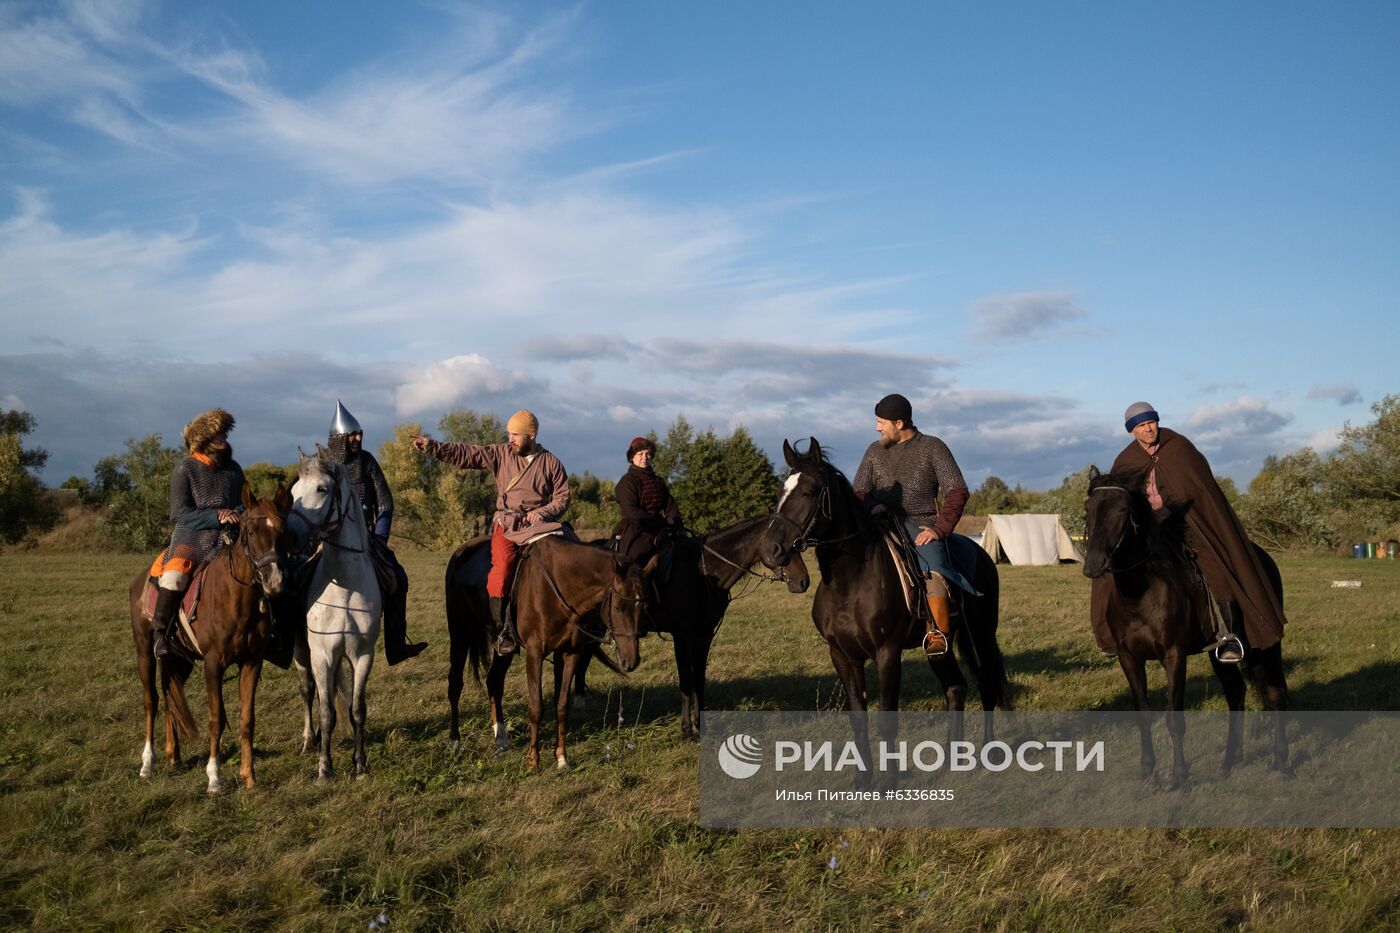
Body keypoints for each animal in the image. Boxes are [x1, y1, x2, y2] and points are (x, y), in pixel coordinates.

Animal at [127, 481, 288, 795]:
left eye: (282, 532)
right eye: (251, 532)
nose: (274, 582)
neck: (236, 598)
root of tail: (141, 578)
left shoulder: (251, 662)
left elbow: (247, 719)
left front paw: (249, 777)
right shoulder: (213, 664)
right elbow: (216, 719)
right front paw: (214, 778)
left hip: (180, 658)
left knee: (169, 695)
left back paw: (174, 755)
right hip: (144, 652)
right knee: (151, 700)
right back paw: (147, 763)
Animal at [288, 448, 383, 778]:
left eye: (321, 489)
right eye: (293, 492)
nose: (288, 536)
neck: (344, 590)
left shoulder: (362, 655)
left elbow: (357, 710)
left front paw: (360, 763)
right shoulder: (322, 655)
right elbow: (326, 711)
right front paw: (324, 768)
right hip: (302, 653)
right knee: (308, 692)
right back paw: (310, 740)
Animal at [445, 529, 652, 767]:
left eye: (643, 607)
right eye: (618, 607)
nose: (631, 660)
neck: (559, 588)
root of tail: (461, 552)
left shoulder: (570, 652)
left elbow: (561, 705)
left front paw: (561, 758)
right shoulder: (535, 652)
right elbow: (536, 707)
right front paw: (533, 761)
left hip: (502, 649)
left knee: (494, 682)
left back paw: (501, 737)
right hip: (460, 634)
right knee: (455, 684)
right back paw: (455, 742)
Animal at [761, 437, 1013, 717]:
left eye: (811, 491)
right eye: (780, 492)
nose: (770, 549)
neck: (848, 585)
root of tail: (981, 553)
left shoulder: (887, 655)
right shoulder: (842, 656)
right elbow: (857, 710)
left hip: (982, 635)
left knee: (988, 687)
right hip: (942, 646)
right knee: (956, 688)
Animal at [1080, 465, 1288, 784]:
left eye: (1122, 509)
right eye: (1088, 510)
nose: (1093, 565)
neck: (1139, 594)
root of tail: (1263, 557)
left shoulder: (1174, 655)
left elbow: (1174, 718)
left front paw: (1179, 777)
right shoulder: (1129, 658)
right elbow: (1143, 714)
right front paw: (1147, 770)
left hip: (1265, 644)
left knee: (1276, 693)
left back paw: (1280, 762)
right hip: (1218, 653)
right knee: (1236, 692)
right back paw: (1230, 761)